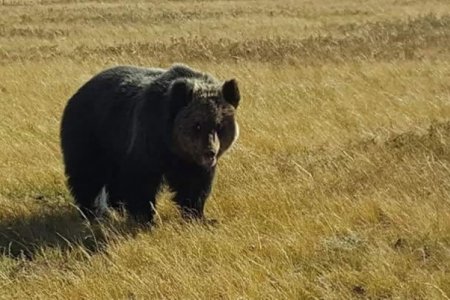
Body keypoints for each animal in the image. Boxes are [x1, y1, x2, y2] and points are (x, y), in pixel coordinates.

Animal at [62, 63, 243, 223]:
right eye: (197, 125)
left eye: (220, 126)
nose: (210, 152)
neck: (173, 146)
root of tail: (82, 88)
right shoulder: (148, 139)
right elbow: (140, 179)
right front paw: (145, 218)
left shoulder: (191, 162)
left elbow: (195, 185)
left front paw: (199, 216)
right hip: (92, 134)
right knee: (87, 173)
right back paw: (90, 211)